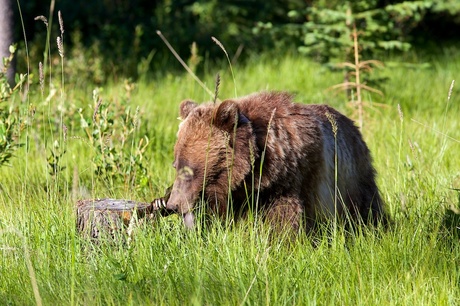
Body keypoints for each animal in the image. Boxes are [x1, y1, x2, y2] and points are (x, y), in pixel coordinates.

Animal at [164, 92, 386, 231]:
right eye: (175, 165)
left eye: (188, 170)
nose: (173, 204)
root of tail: (353, 125)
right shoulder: (237, 194)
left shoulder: (290, 182)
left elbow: (283, 219)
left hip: (351, 176)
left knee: (367, 206)